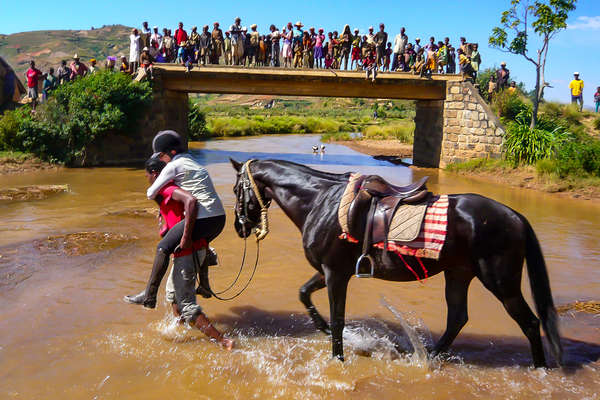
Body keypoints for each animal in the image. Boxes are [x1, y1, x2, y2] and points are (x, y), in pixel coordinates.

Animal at [229, 158, 564, 368]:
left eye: (235, 189)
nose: (239, 228)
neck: (320, 201)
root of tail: (515, 216)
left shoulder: (335, 273)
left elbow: (338, 318)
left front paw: (337, 358)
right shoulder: (326, 272)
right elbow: (304, 295)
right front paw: (324, 330)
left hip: (500, 281)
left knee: (530, 323)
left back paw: (540, 370)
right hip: (459, 273)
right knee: (457, 318)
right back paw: (428, 357)